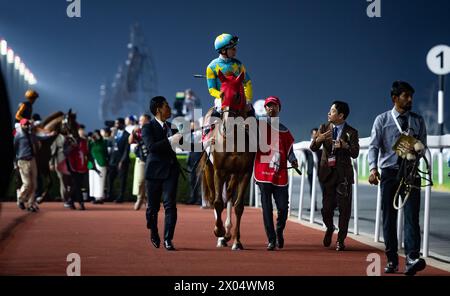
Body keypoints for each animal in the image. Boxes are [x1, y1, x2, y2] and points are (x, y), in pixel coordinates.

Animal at [199, 71, 255, 250]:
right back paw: (221, 235)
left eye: (237, 95)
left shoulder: (244, 172)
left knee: (229, 194)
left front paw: (237, 241)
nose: (226, 125)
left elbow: (239, 206)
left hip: (234, 174)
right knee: (213, 198)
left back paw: (228, 233)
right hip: (209, 170)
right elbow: (217, 202)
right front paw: (218, 231)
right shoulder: (219, 170)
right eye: (222, 94)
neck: (234, 139)